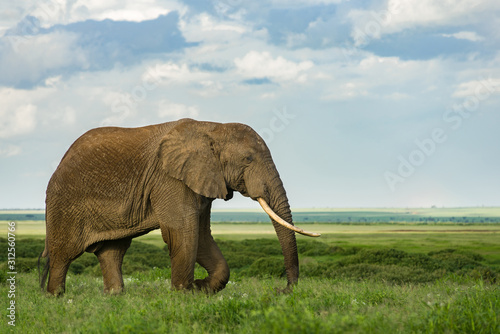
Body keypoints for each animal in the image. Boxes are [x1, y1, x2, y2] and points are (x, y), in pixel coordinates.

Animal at [40, 117, 320, 294]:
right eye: (248, 159)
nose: (282, 290)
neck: (212, 127)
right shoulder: (169, 179)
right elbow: (183, 232)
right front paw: (182, 295)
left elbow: (202, 235)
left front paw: (199, 288)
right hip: (64, 203)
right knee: (63, 254)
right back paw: (55, 297)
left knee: (113, 251)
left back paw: (115, 296)